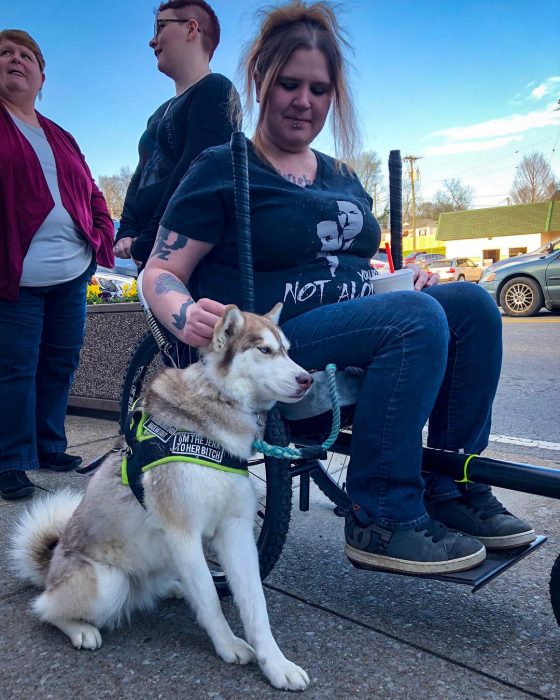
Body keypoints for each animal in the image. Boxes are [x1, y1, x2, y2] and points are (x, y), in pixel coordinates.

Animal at [10, 304, 312, 692]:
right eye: (265, 350)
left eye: (287, 350)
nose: (308, 379)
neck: (215, 411)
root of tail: (50, 567)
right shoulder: (182, 532)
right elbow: (211, 599)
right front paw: (228, 644)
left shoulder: (236, 529)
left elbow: (255, 605)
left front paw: (275, 664)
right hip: (108, 583)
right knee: (45, 607)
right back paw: (79, 628)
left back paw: (173, 588)